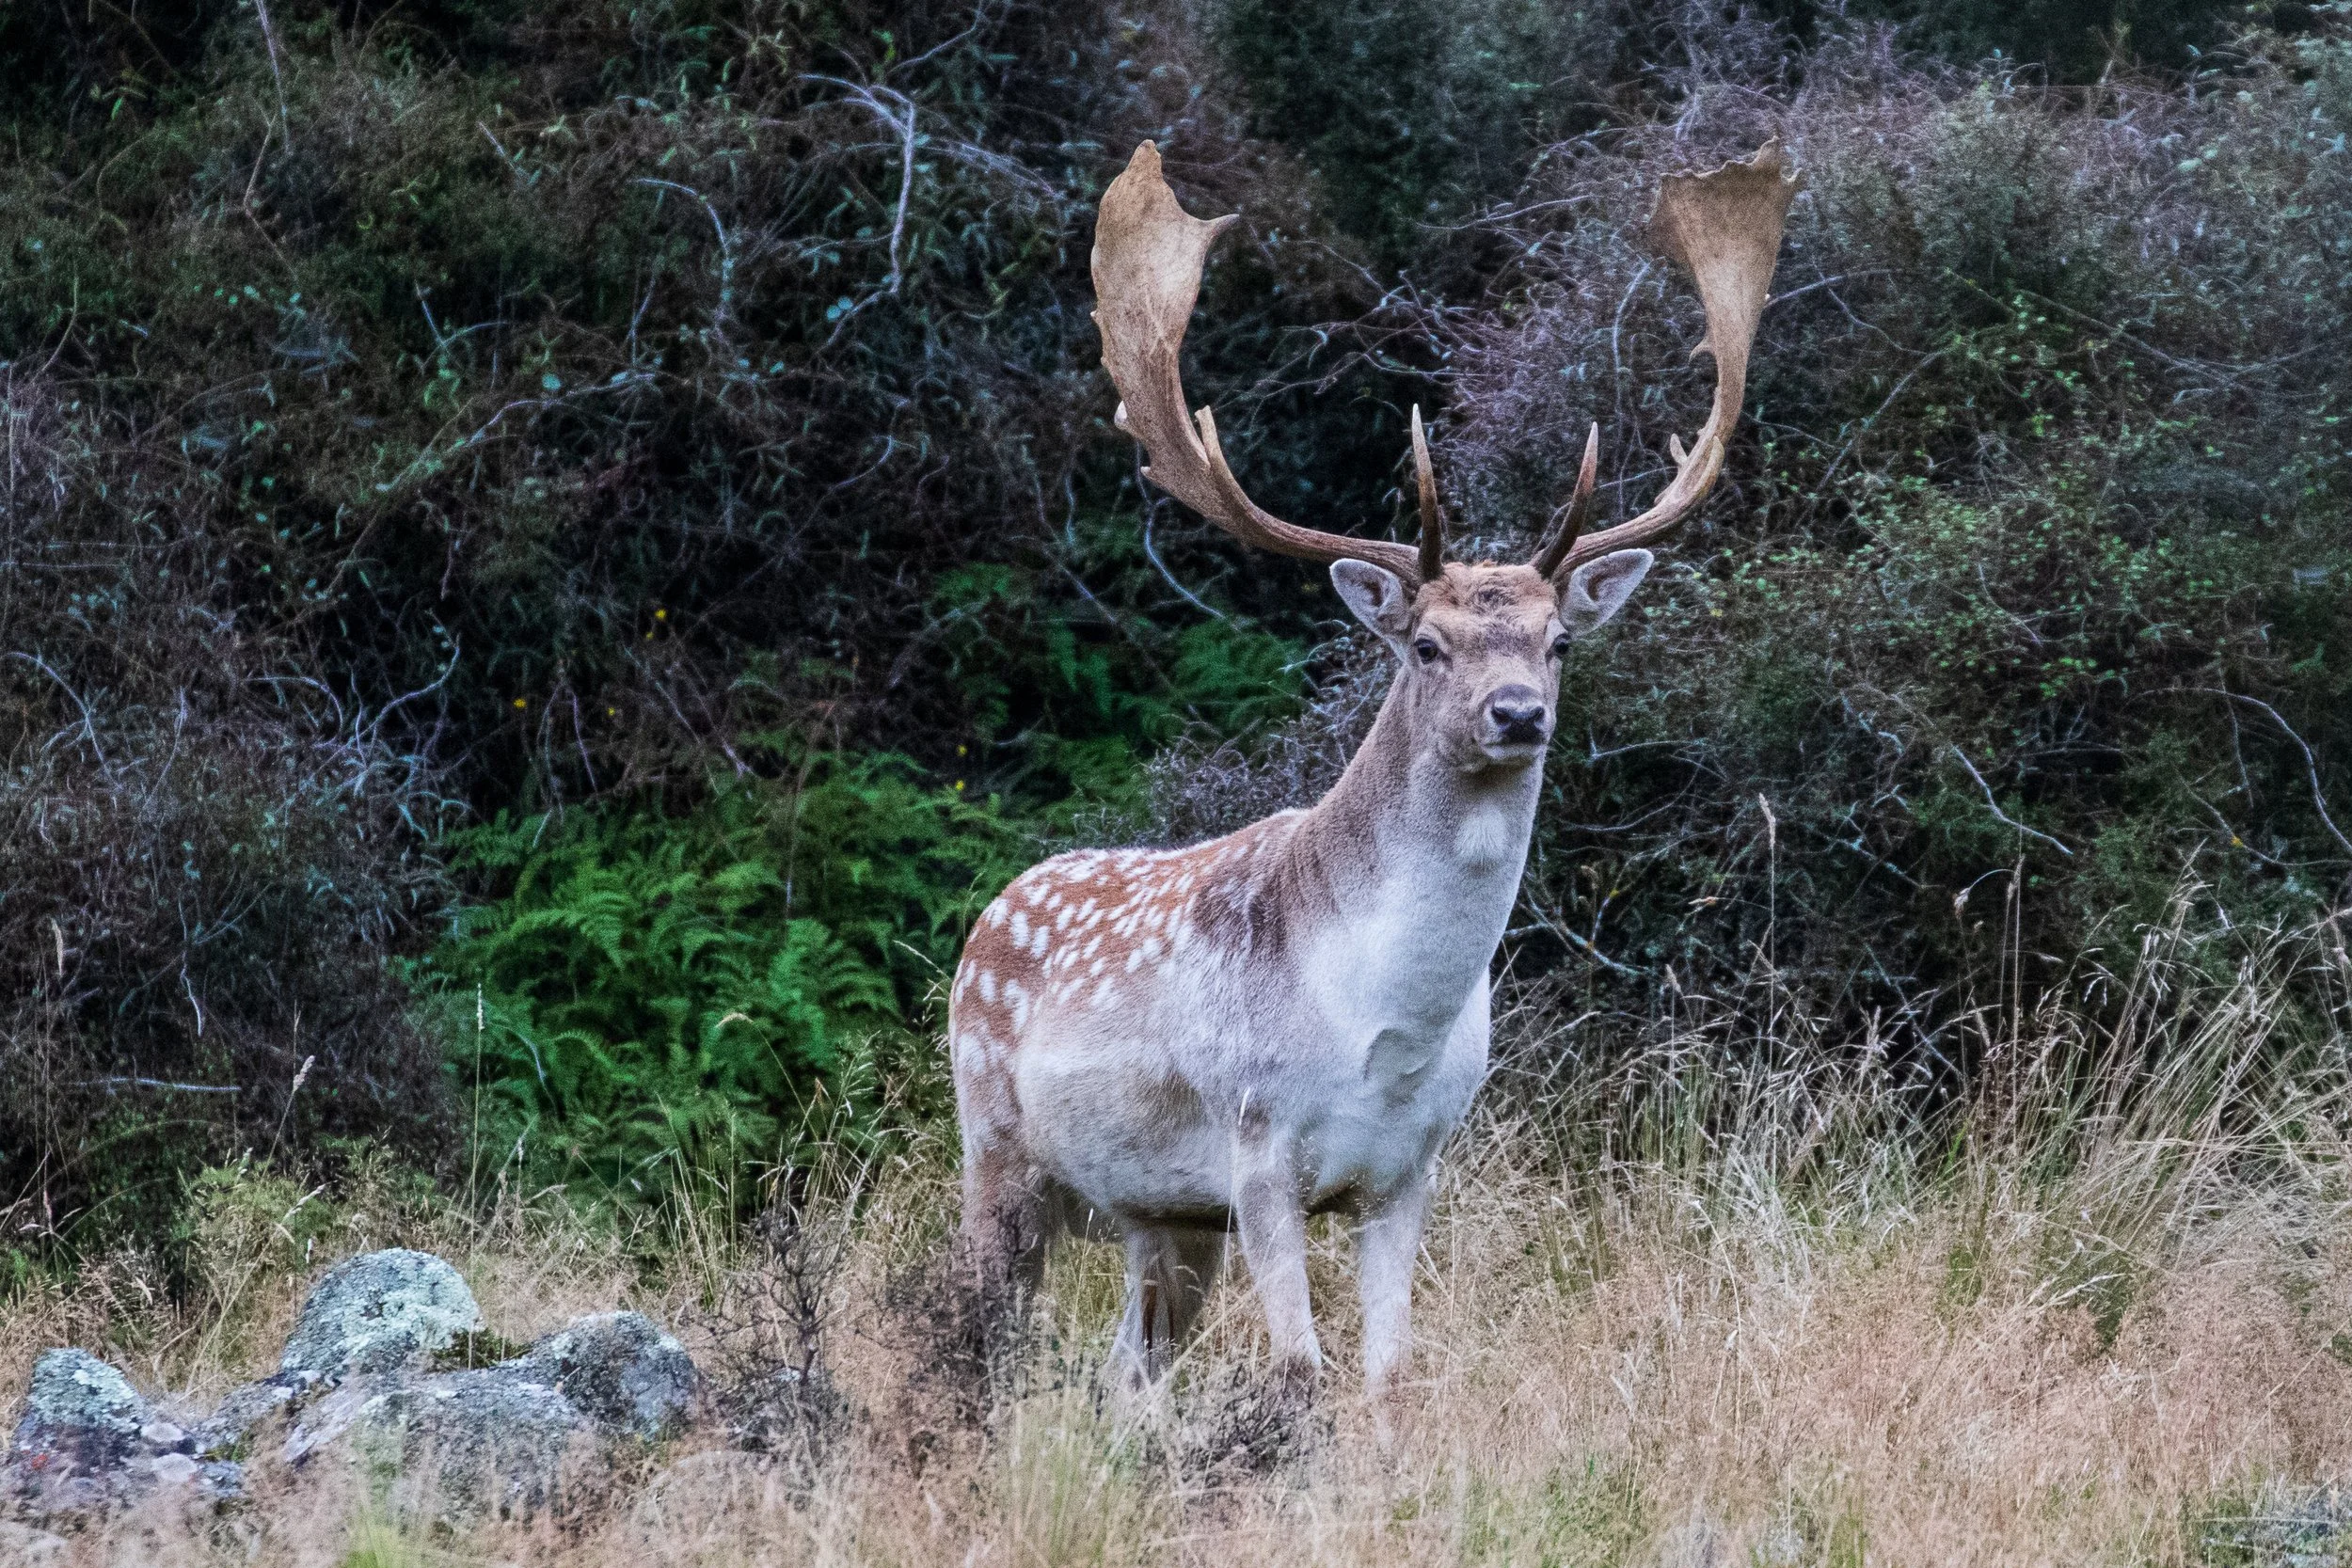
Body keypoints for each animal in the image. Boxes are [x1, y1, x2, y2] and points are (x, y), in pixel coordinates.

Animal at [948, 140, 1796, 1403]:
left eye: (1558, 639)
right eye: (1427, 643)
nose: (1517, 712)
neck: (1384, 1033)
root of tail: (986, 915)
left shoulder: (1411, 1168)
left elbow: (1388, 1375)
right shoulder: (1257, 1152)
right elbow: (1302, 1375)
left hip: (1161, 1215)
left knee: (1125, 1375)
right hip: (994, 1145)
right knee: (972, 1341)